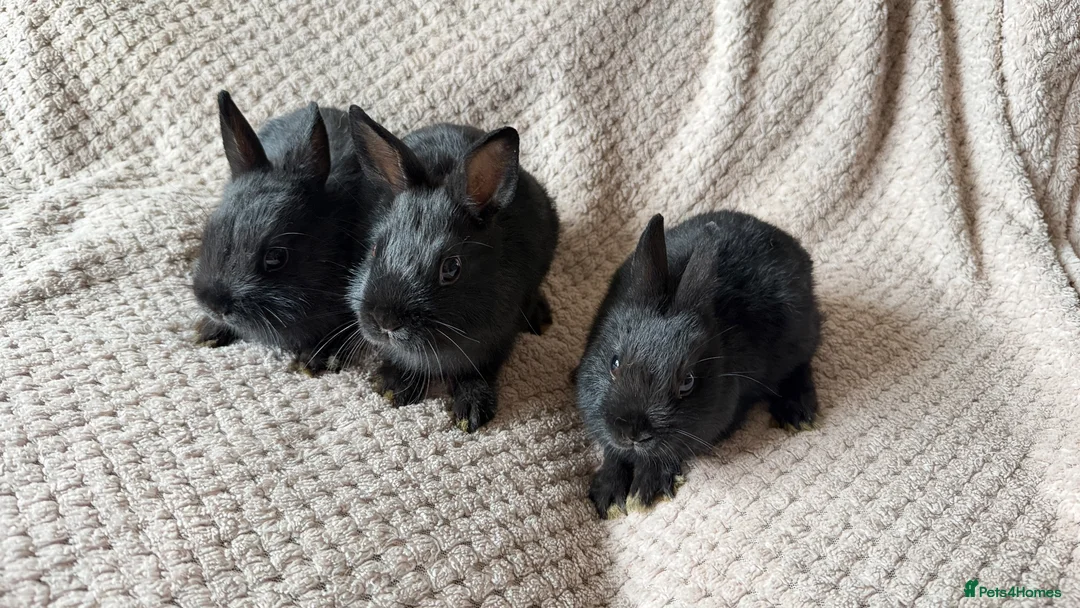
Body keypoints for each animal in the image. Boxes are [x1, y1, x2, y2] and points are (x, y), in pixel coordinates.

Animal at [346, 106, 560, 432]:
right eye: (374, 249)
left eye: (451, 268)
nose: (385, 320)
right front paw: (393, 385)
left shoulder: (497, 340)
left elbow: (478, 371)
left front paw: (471, 409)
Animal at [576, 211, 821, 518]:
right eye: (614, 362)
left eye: (688, 382)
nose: (633, 432)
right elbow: (613, 452)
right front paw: (608, 496)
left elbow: (668, 452)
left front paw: (646, 486)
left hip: (800, 335)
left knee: (800, 365)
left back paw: (797, 413)